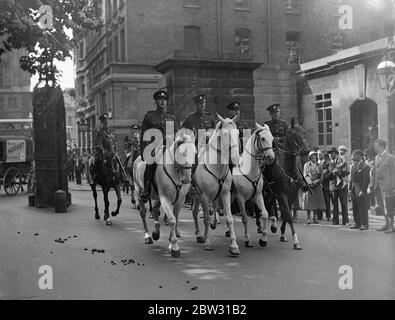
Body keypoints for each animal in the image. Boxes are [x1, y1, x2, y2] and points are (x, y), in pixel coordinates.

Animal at [192, 114, 241, 256]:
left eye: (238, 133)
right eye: (225, 134)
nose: (235, 159)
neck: (216, 167)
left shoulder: (225, 194)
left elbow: (229, 218)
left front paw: (234, 246)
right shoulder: (204, 196)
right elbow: (206, 219)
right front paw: (208, 243)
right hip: (195, 195)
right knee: (194, 212)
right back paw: (198, 234)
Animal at [262, 117, 310, 250]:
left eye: (304, 132)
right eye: (294, 134)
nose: (306, 151)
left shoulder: (292, 195)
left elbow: (285, 214)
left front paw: (283, 234)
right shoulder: (282, 194)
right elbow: (288, 215)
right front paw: (296, 241)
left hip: (272, 193)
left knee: (270, 205)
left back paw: (273, 225)